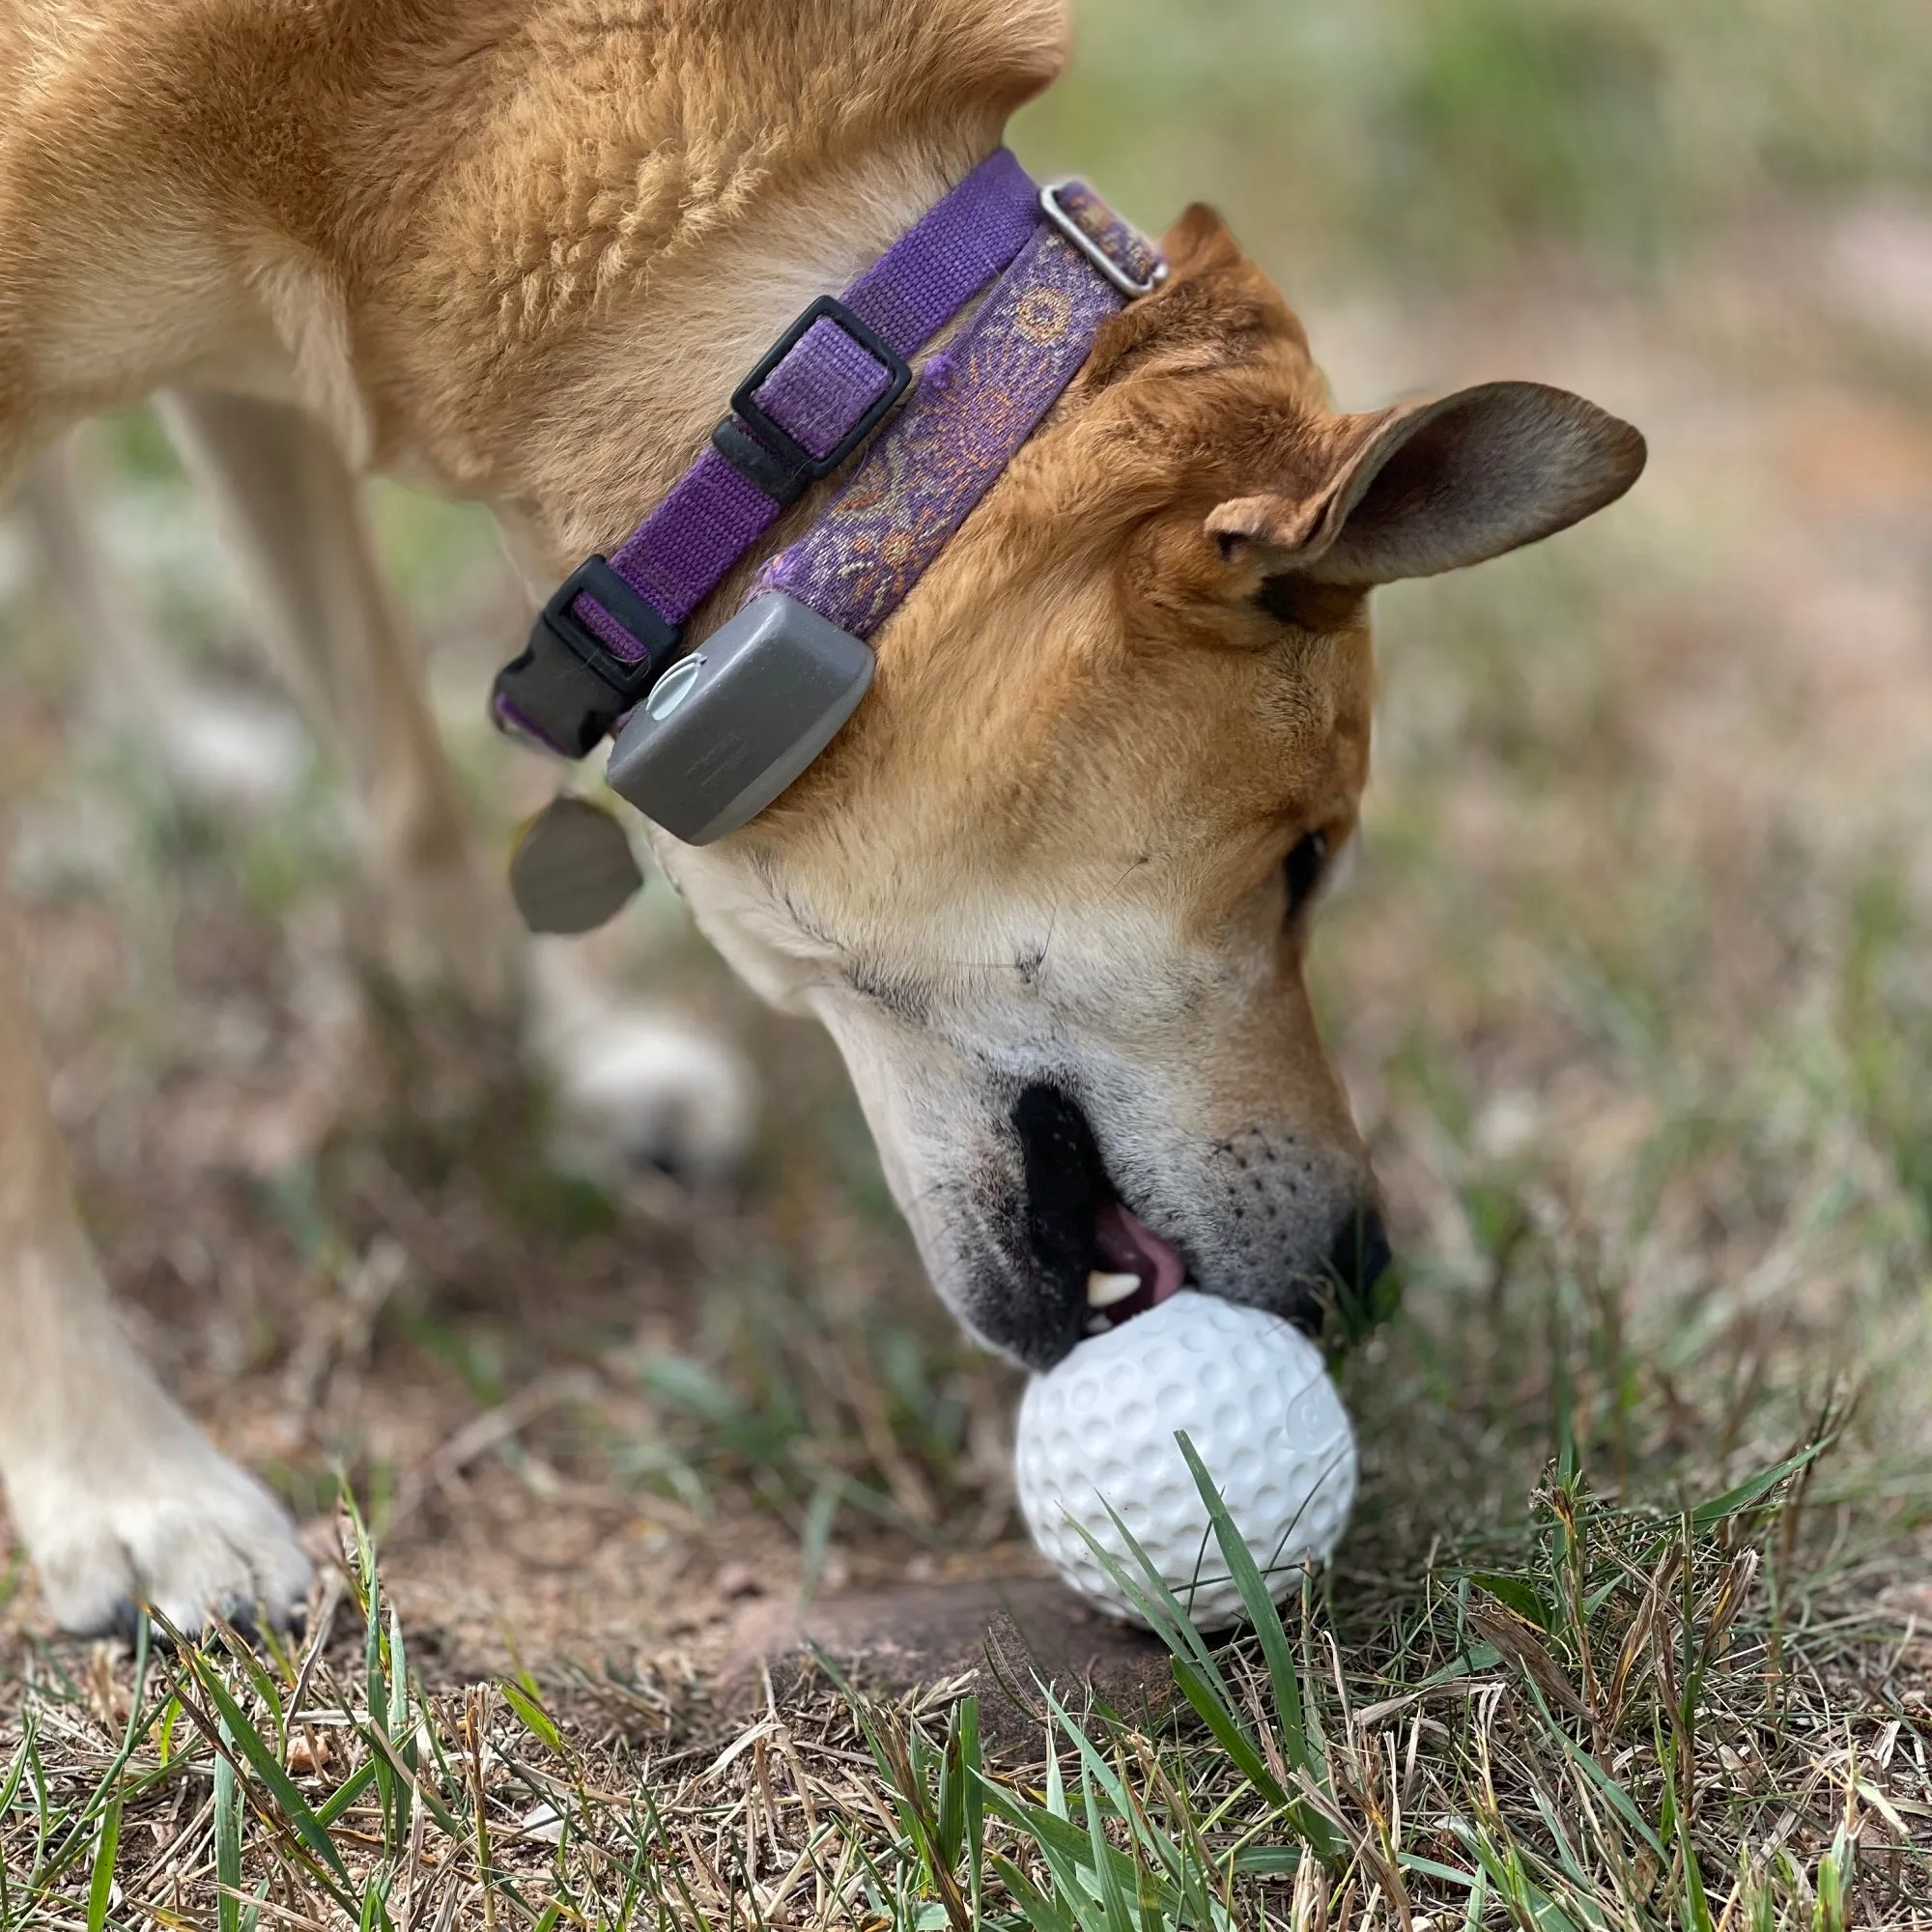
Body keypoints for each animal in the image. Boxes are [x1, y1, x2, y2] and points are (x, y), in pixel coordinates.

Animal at [0, 0, 1646, 1638]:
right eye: (1302, 864)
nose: (1370, 1274)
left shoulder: (260, 376)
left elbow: (407, 784)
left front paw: (567, 1058)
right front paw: (126, 1485)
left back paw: (191, 755)